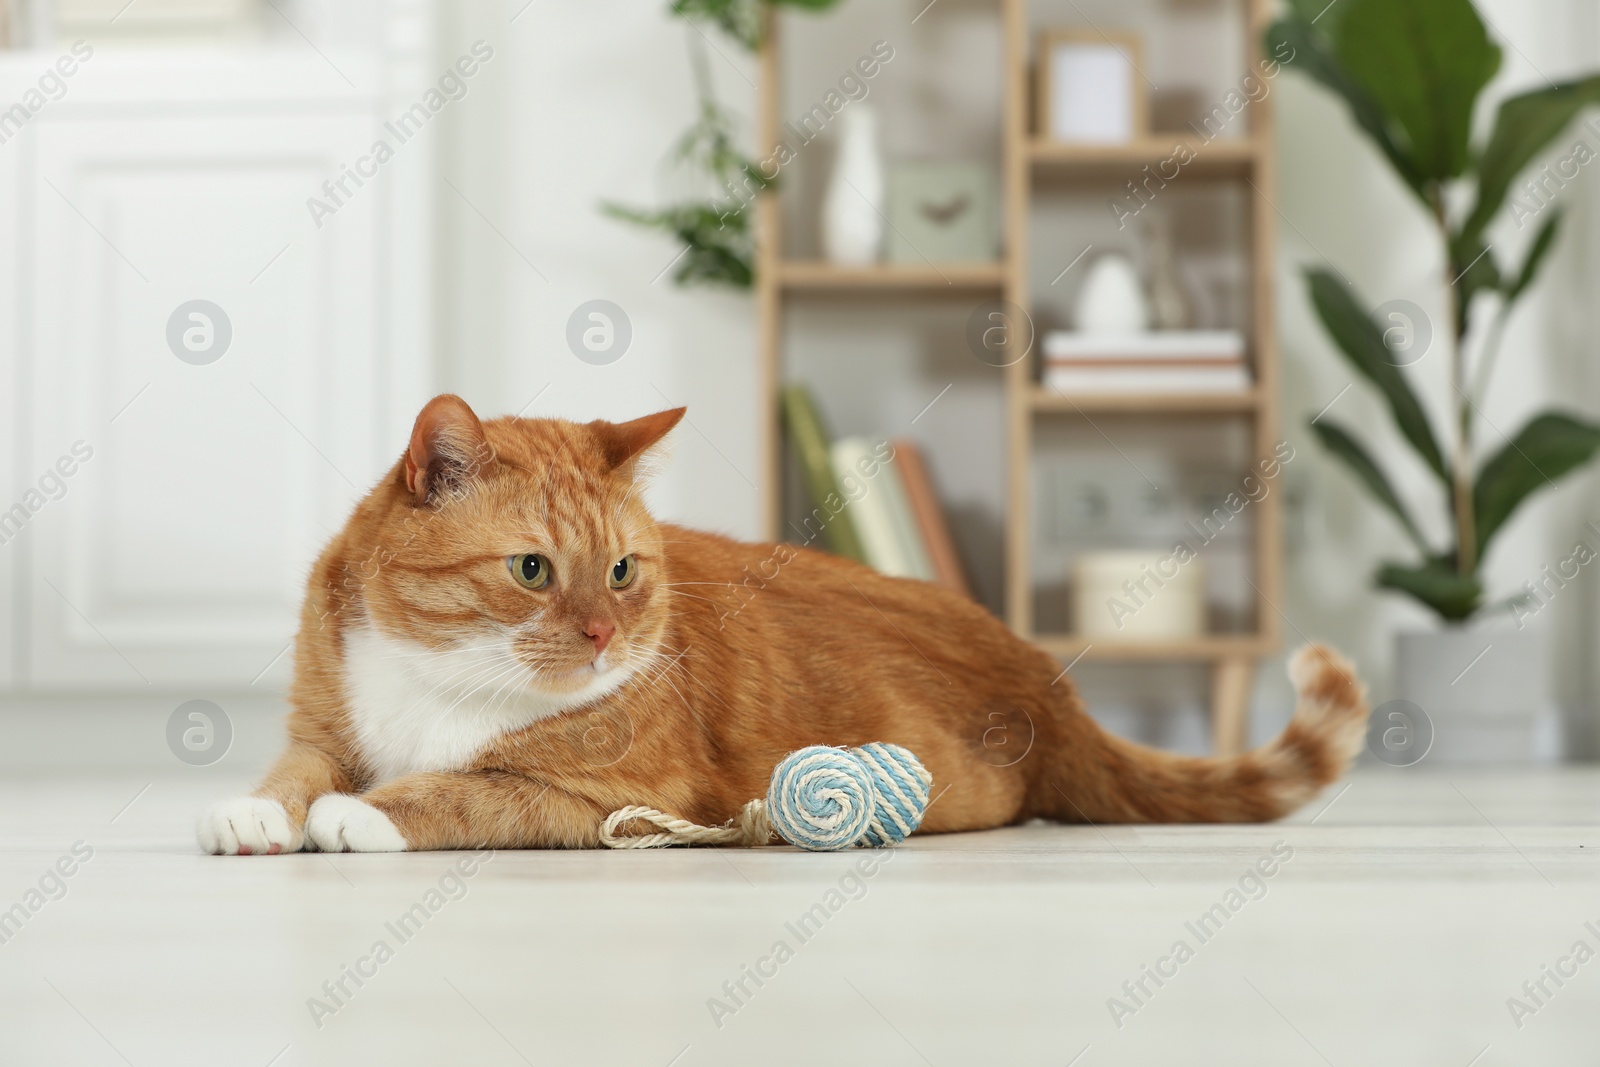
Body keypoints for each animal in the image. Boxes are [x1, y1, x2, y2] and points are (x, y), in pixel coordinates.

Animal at [196, 396, 1376, 857]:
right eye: (532, 570)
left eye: (621, 571)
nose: (603, 637)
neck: (443, 675)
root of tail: (1043, 676)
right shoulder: (324, 719)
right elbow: (297, 768)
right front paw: (260, 812)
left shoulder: (613, 796)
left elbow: (464, 788)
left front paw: (364, 813)